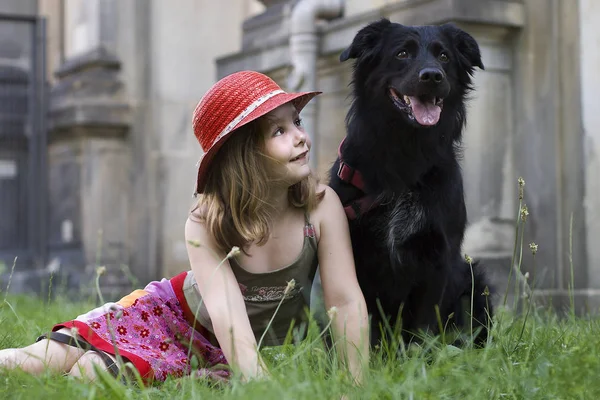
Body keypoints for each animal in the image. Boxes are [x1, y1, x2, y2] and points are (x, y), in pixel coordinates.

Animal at [330, 17, 494, 346]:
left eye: (444, 56)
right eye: (402, 53)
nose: (432, 76)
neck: (406, 155)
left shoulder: (438, 256)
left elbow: (423, 326)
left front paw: (420, 356)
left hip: (475, 281)